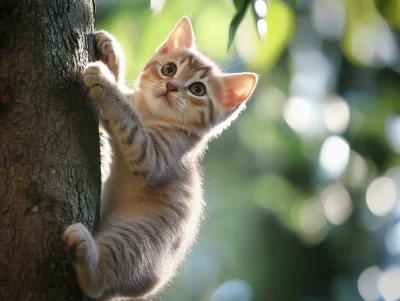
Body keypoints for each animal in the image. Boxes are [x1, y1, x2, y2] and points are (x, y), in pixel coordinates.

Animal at [62, 17, 256, 300]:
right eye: (169, 69)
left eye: (197, 89)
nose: (171, 86)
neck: (152, 115)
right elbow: (123, 108)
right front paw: (110, 53)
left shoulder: (156, 157)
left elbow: (128, 120)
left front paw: (106, 82)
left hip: (136, 239)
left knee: (99, 283)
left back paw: (87, 257)